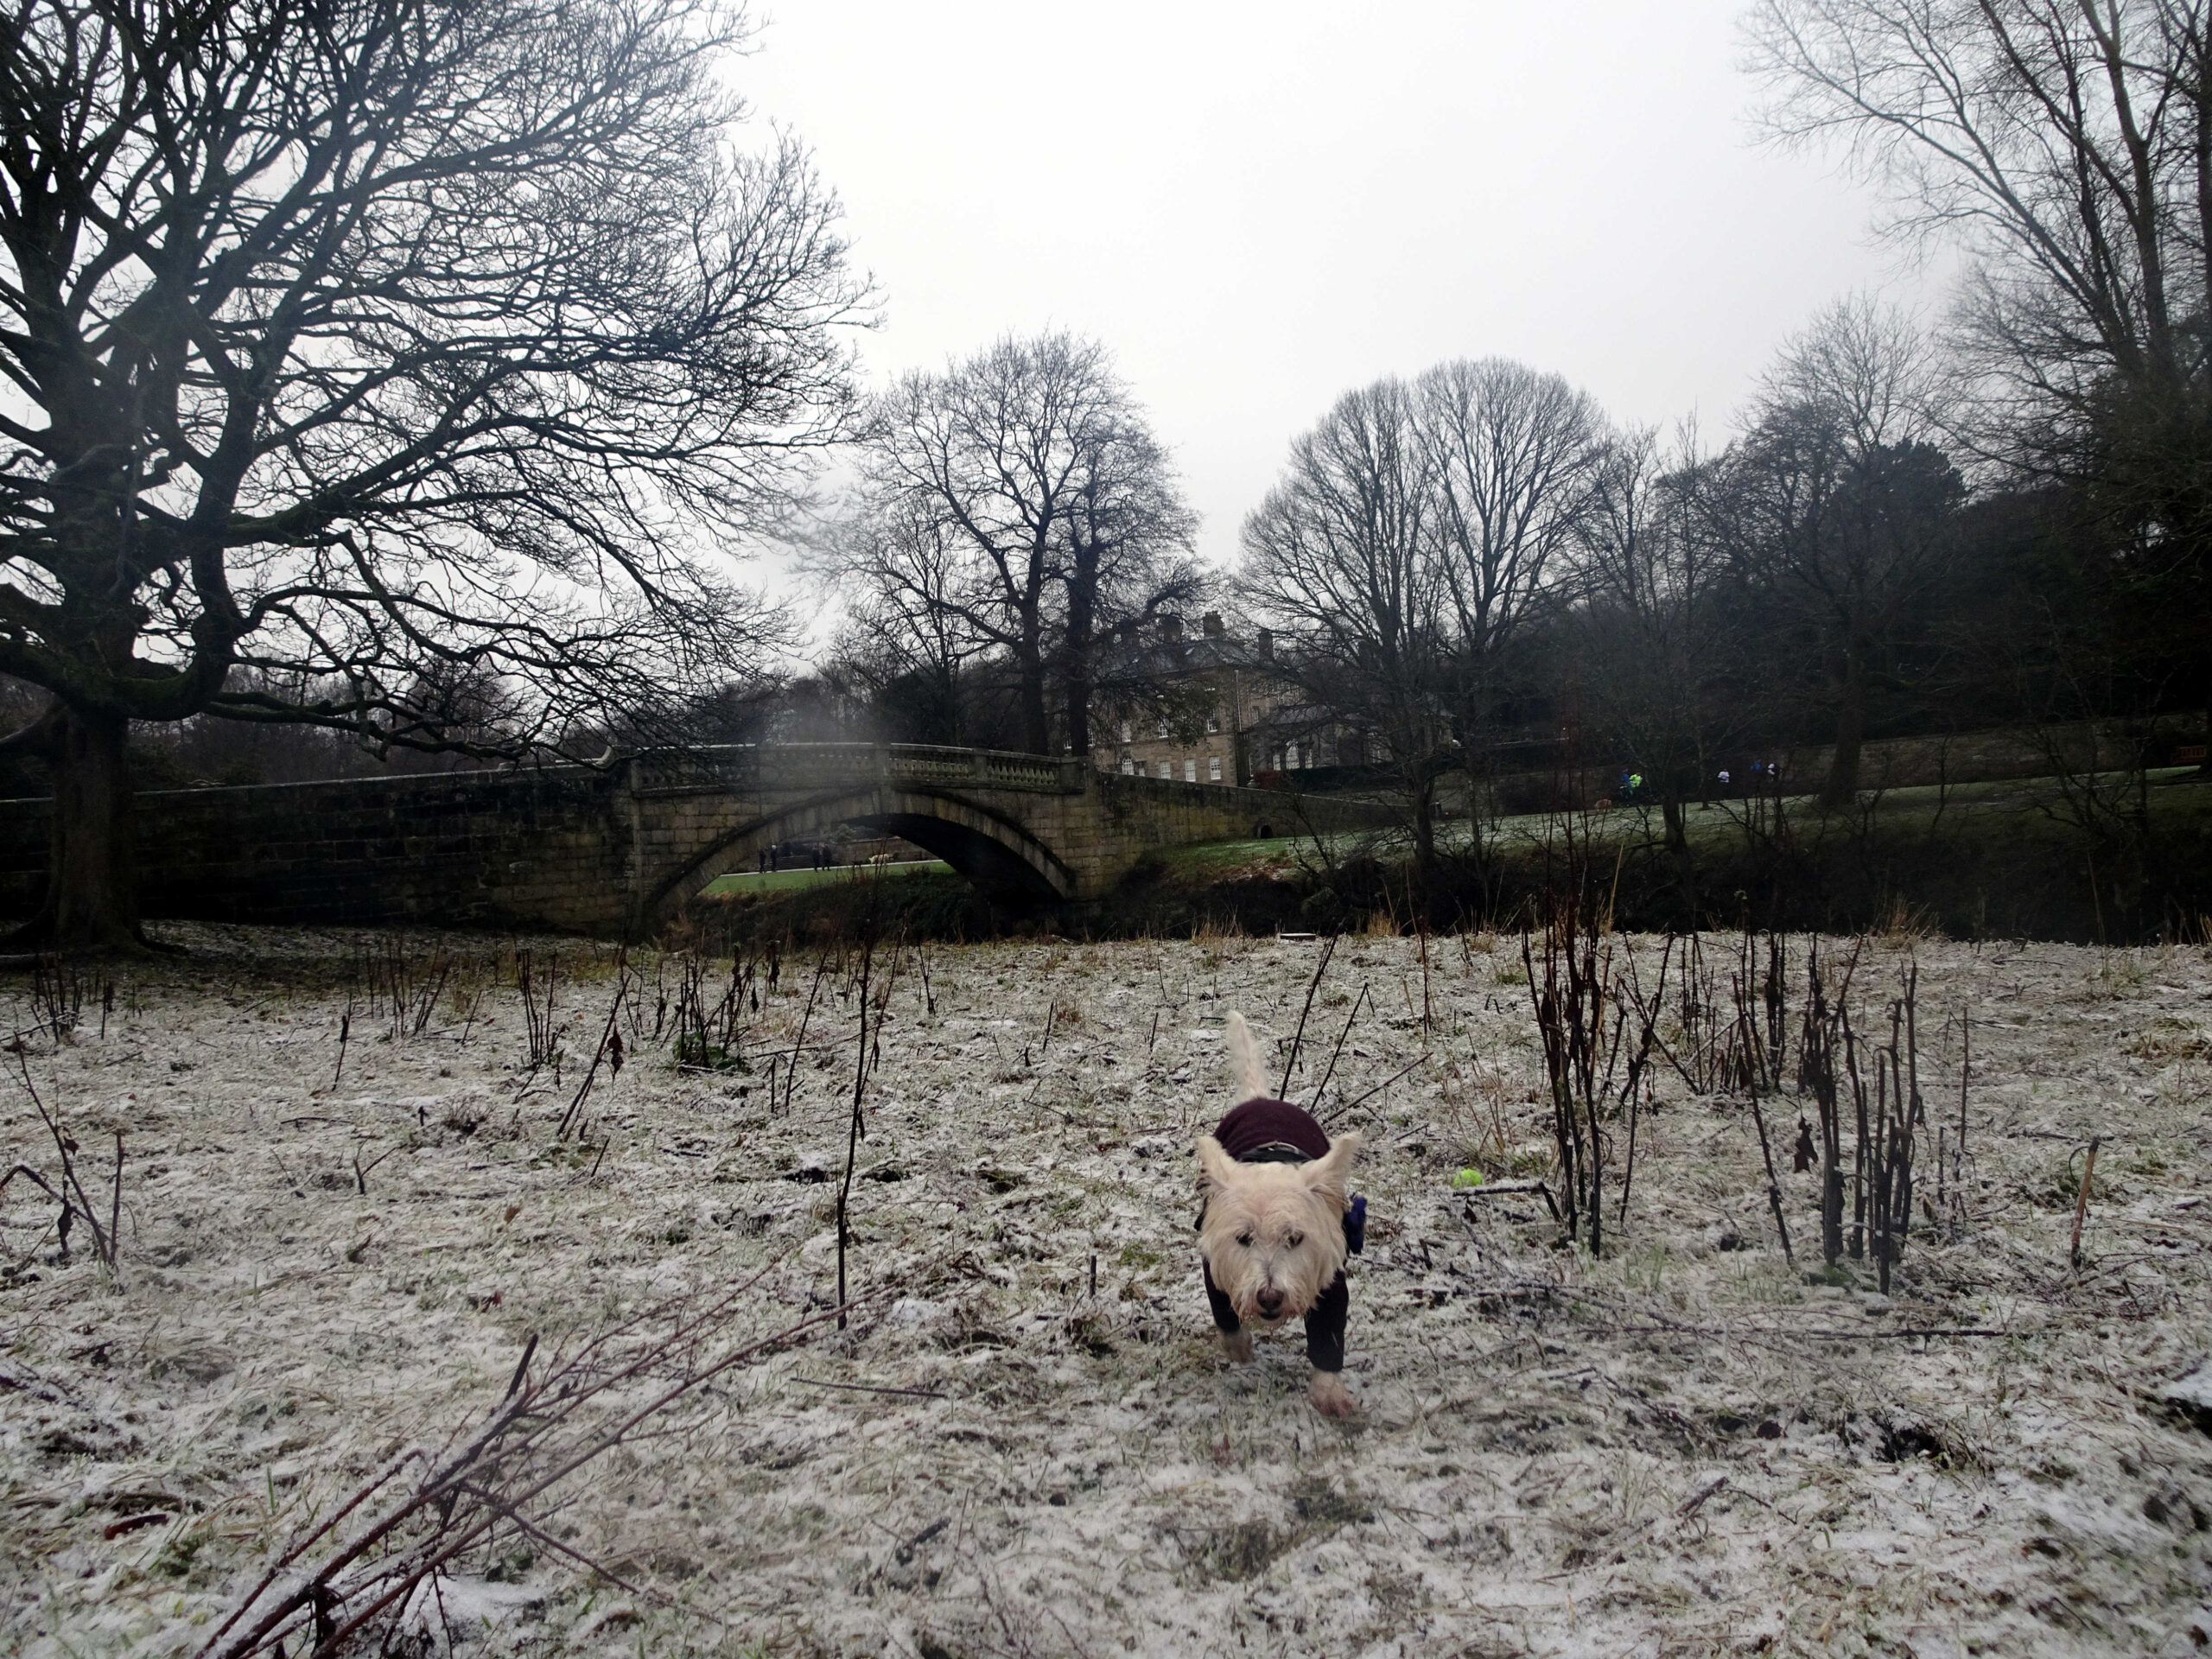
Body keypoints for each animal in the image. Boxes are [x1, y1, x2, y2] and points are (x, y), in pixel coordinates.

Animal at [1203, 1021, 1353, 1424]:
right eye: (1243, 1238)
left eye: (1295, 1238)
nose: (1269, 1297)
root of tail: (1262, 1100)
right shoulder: (1215, 1269)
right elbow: (1226, 1317)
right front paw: (1240, 1347)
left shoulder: (1329, 1279)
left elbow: (1328, 1333)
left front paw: (1330, 1394)